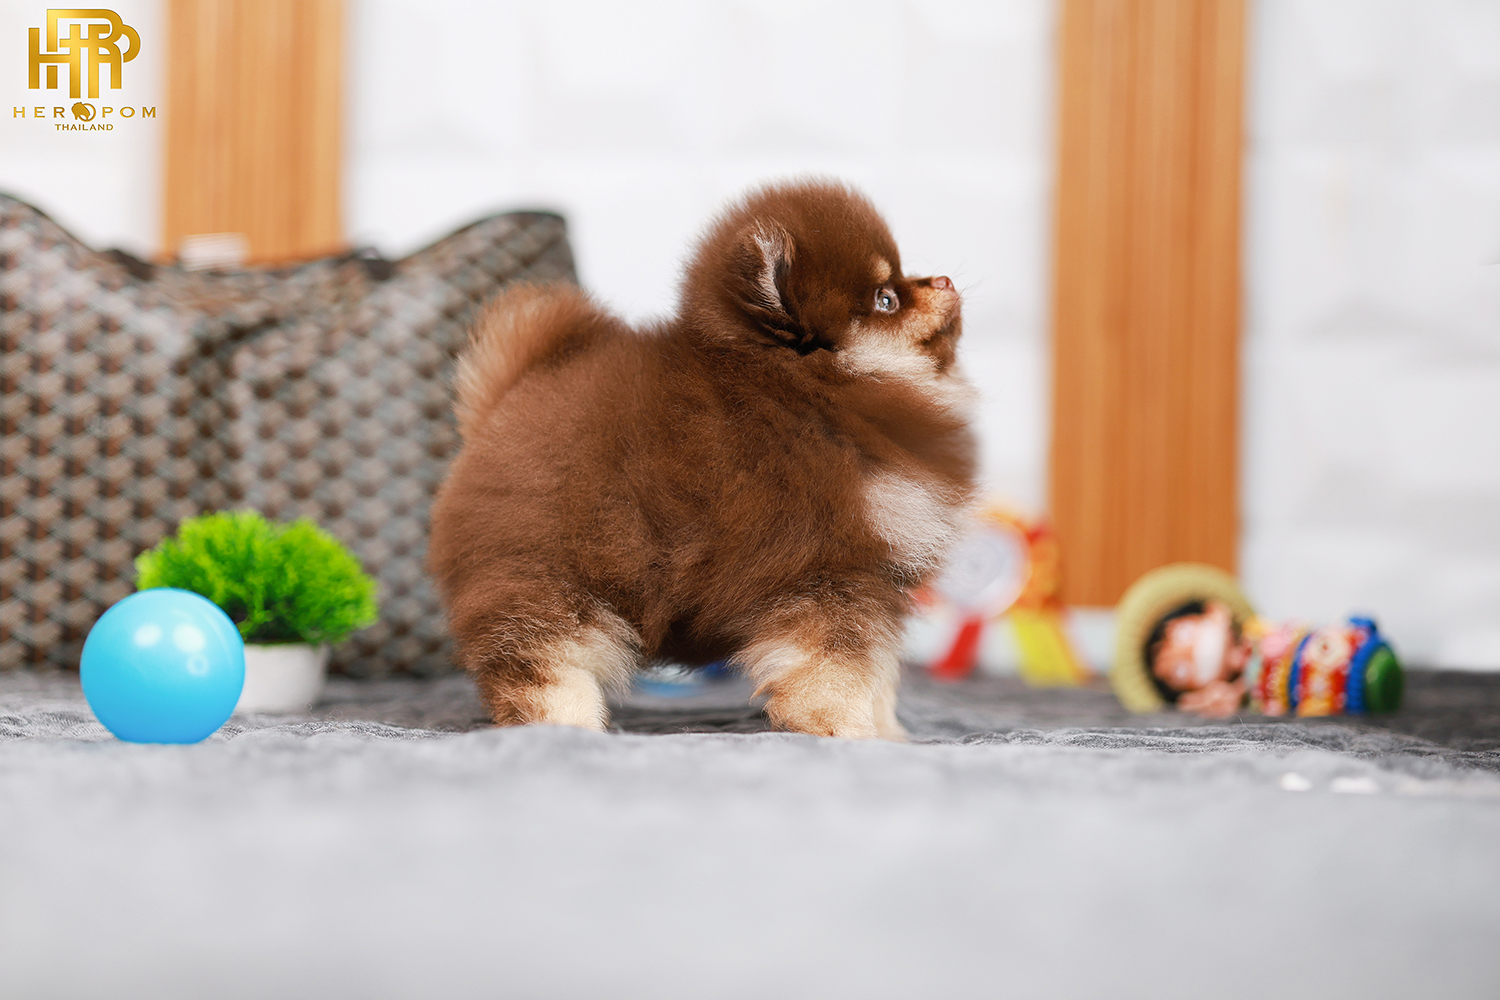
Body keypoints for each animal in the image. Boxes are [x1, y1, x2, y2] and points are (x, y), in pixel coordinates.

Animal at [428, 180, 977, 739]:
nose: (946, 279)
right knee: (535, 655)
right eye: (886, 299)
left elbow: (878, 673)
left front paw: (887, 732)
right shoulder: (828, 570)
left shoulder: (878, 580)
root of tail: (501, 403)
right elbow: (834, 669)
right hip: (547, 574)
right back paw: (567, 723)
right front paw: (838, 728)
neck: (822, 391)